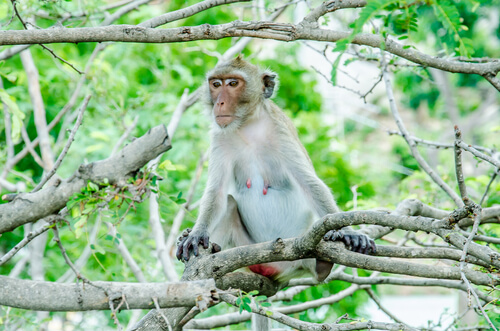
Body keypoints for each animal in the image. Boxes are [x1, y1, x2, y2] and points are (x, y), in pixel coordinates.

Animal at [176, 56, 376, 282]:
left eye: (233, 83)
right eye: (216, 84)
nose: (219, 102)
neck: (248, 125)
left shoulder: (280, 131)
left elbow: (310, 184)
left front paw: (349, 231)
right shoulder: (220, 136)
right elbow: (216, 192)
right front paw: (196, 233)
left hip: (299, 262)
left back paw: (323, 266)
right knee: (228, 202)